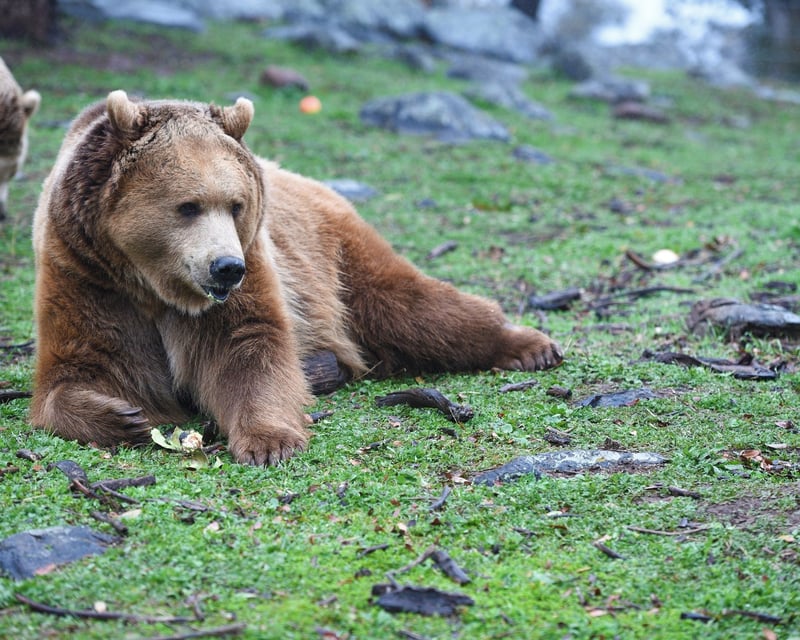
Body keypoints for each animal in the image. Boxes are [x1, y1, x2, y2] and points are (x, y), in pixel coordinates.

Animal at [31, 90, 563, 466]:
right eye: (188, 205)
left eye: (236, 204)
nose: (227, 267)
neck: (155, 286)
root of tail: (315, 184)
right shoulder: (85, 274)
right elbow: (81, 366)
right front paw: (124, 415)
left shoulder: (255, 261)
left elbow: (248, 347)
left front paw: (270, 440)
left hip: (335, 260)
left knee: (414, 308)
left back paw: (530, 345)